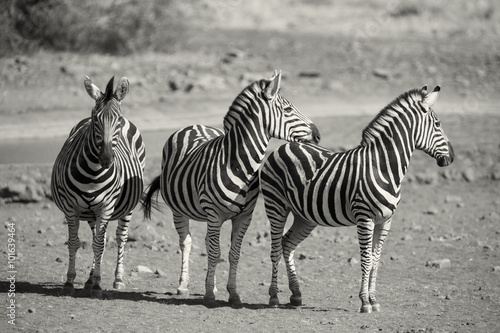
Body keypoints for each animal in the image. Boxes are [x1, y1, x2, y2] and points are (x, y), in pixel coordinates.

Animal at [50, 76, 145, 298]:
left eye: (118, 120)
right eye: (95, 120)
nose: (106, 159)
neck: (93, 174)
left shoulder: (106, 207)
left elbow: (100, 245)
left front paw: (98, 285)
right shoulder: (71, 208)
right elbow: (75, 242)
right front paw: (70, 281)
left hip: (125, 208)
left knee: (120, 237)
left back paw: (117, 279)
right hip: (92, 212)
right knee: (95, 237)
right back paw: (89, 278)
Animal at [141, 71, 320, 308]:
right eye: (288, 109)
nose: (318, 134)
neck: (238, 163)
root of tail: (194, 125)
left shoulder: (244, 216)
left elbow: (233, 253)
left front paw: (232, 294)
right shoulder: (214, 214)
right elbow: (215, 251)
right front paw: (209, 295)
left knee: (206, 243)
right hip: (179, 210)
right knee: (186, 242)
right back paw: (183, 285)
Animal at [260, 85, 456, 312]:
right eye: (438, 124)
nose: (452, 157)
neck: (382, 166)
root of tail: (284, 146)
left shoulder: (385, 221)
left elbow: (376, 260)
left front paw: (374, 300)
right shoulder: (365, 218)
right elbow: (366, 259)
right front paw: (364, 302)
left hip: (305, 216)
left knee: (287, 244)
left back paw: (296, 294)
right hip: (276, 206)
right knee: (275, 248)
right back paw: (274, 296)